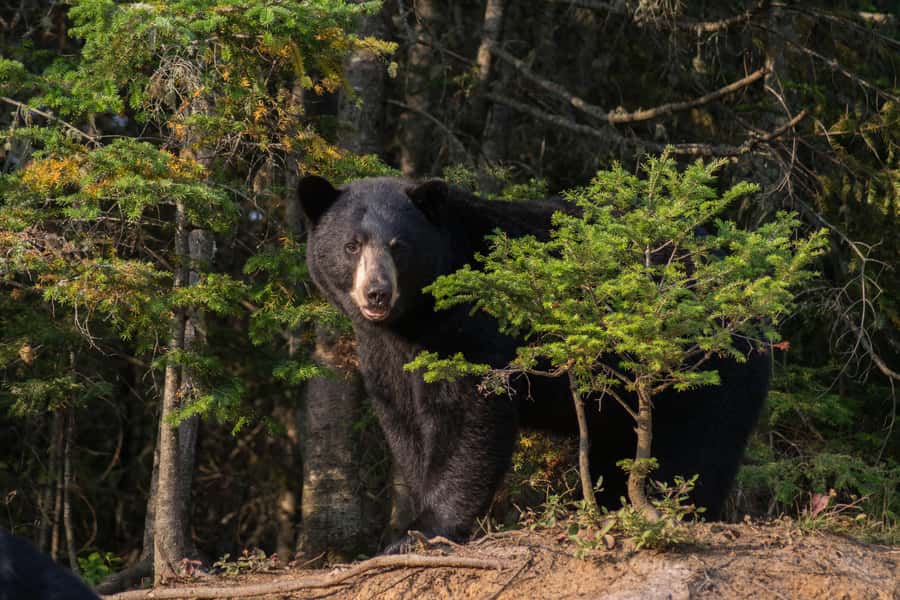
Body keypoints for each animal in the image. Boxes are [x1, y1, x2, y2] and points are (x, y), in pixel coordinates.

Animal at [297, 175, 769, 552]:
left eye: (399, 246)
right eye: (351, 245)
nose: (377, 292)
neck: (413, 319)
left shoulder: (471, 324)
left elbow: (467, 415)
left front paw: (422, 530)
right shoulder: (384, 352)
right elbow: (404, 420)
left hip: (704, 370)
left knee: (697, 448)